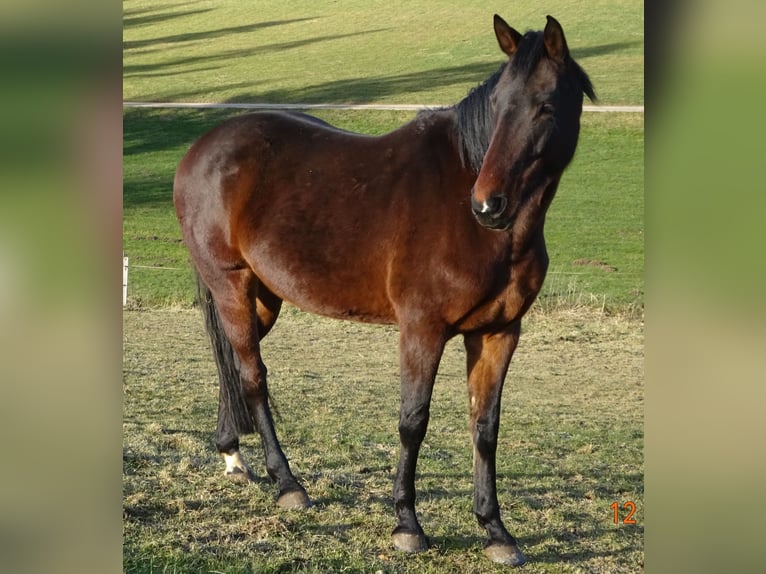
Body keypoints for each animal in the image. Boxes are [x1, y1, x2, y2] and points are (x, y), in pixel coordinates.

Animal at [176, 13, 600, 568]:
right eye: (499, 105)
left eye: (545, 105)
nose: (488, 205)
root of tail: (202, 148)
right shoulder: (422, 330)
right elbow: (413, 420)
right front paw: (407, 524)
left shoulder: (500, 332)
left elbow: (485, 427)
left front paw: (496, 531)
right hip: (230, 285)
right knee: (252, 375)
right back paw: (287, 483)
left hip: (261, 298)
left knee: (229, 361)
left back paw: (232, 453)